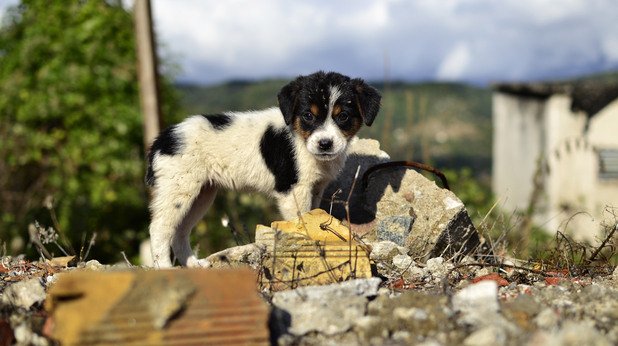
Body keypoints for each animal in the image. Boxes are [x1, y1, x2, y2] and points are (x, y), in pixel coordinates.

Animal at [146, 71, 380, 268]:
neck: (300, 139)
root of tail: (162, 141)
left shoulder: (315, 188)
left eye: (343, 116)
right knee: (160, 228)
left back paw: (193, 264)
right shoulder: (294, 190)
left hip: (201, 195)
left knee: (180, 232)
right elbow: (301, 220)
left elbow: (312, 214)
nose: (325, 144)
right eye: (308, 115)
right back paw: (165, 267)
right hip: (178, 188)